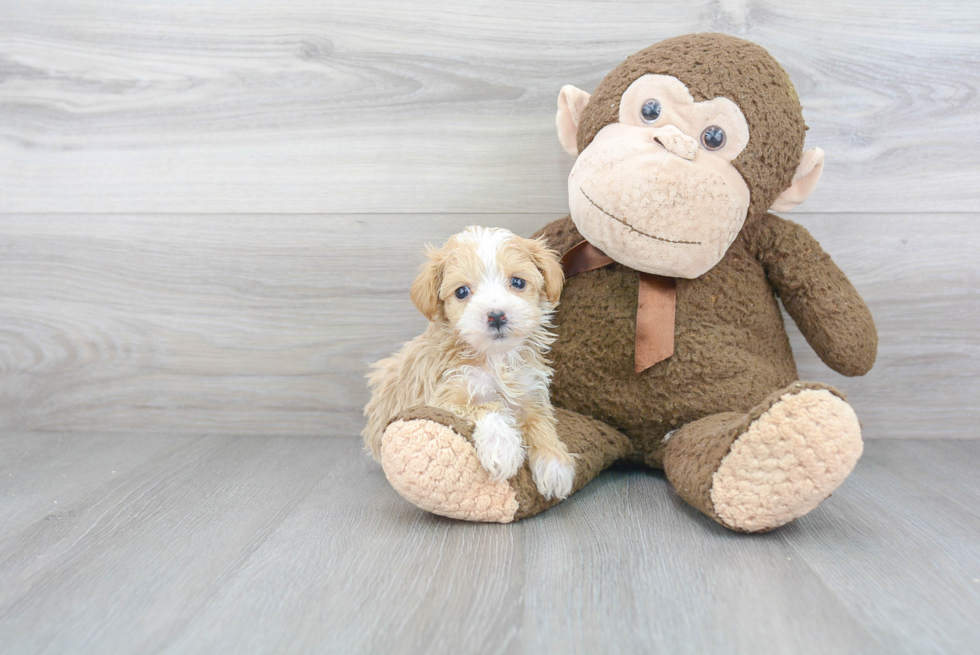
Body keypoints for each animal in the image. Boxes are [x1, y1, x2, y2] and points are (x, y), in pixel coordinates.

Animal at [360, 228, 576, 500]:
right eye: (461, 292)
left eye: (518, 282)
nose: (496, 316)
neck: (495, 359)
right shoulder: (443, 396)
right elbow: (489, 407)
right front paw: (502, 447)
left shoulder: (530, 393)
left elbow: (541, 423)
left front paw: (555, 465)